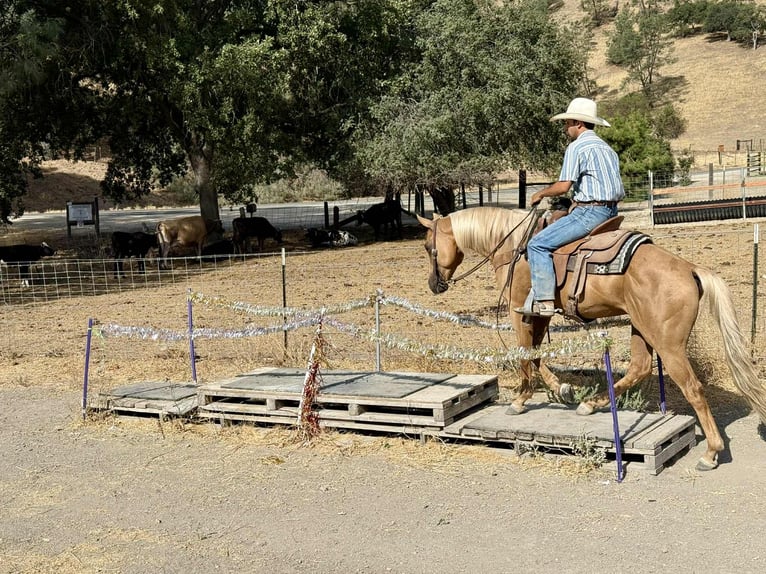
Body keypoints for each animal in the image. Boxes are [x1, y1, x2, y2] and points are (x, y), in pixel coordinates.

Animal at [417, 206, 766, 471]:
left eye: (427, 246)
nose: (434, 284)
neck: (515, 247)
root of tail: (689, 268)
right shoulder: (542, 314)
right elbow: (538, 354)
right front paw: (563, 390)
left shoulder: (521, 312)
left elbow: (526, 354)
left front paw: (520, 399)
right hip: (641, 328)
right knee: (639, 368)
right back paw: (591, 405)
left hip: (668, 344)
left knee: (692, 388)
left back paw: (711, 453)